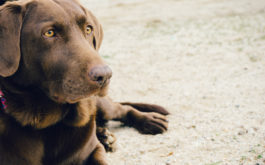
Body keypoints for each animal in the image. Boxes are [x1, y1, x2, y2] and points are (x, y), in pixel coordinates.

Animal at [0, 0, 168, 164]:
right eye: (49, 32)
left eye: (88, 29)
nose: (105, 75)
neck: (47, 123)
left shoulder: (94, 150)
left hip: (102, 105)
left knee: (122, 108)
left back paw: (148, 121)